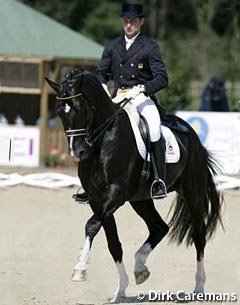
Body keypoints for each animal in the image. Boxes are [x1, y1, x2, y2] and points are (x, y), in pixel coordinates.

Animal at [45, 69, 223, 302]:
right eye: (60, 112)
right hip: (141, 199)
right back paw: (140, 268)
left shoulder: (116, 194)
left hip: (193, 194)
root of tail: (192, 135)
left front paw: (80, 268)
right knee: (159, 227)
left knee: (198, 236)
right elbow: (114, 245)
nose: (78, 151)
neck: (103, 141)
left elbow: (91, 225)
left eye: (79, 108)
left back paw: (199, 288)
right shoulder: (97, 200)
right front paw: (120, 290)